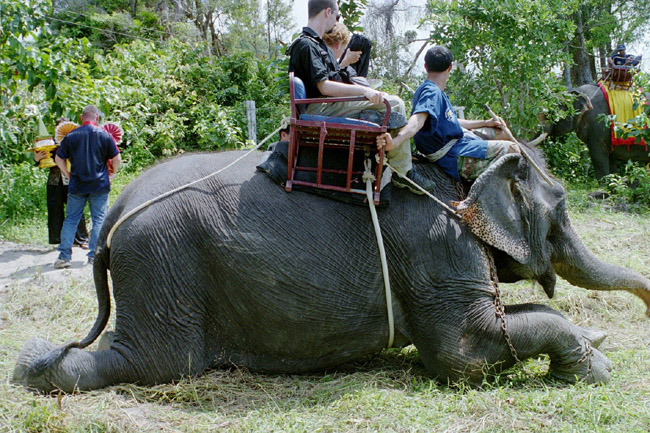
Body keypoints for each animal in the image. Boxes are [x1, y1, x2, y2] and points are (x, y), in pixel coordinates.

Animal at [13, 149, 650, 394]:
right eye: (562, 207)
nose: (645, 305)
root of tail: (117, 210)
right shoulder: (439, 248)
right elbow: (463, 354)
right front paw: (595, 364)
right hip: (163, 262)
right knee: (157, 363)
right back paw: (31, 371)